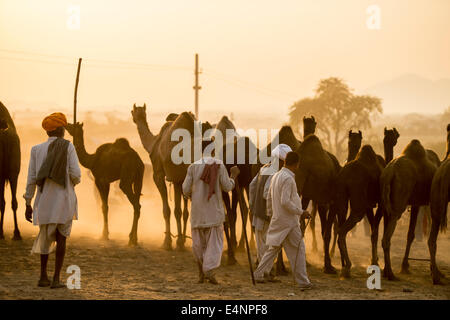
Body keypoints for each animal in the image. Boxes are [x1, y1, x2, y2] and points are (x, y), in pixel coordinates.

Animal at [380, 139, 440, 278]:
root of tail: (390, 173)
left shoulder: (416, 203)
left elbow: (410, 234)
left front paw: (405, 266)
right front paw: (436, 272)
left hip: (385, 201)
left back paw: (387, 271)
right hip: (400, 198)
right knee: (387, 237)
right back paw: (390, 273)